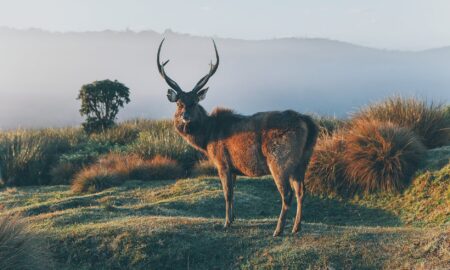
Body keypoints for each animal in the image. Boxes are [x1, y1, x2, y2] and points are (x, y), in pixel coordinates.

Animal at [156, 38, 318, 236]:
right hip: (303, 160)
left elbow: (227, 193)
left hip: (280, 159)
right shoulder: (234, 168)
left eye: (194, 102)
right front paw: (232, 219)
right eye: (179, 103)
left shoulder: (222, 162)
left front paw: (226, 223)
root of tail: (307, 122)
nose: (185, 117)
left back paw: (278, 230)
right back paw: (296, 227)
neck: (207, 138)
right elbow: (233, 193)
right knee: (301, 191)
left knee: (287, 193)